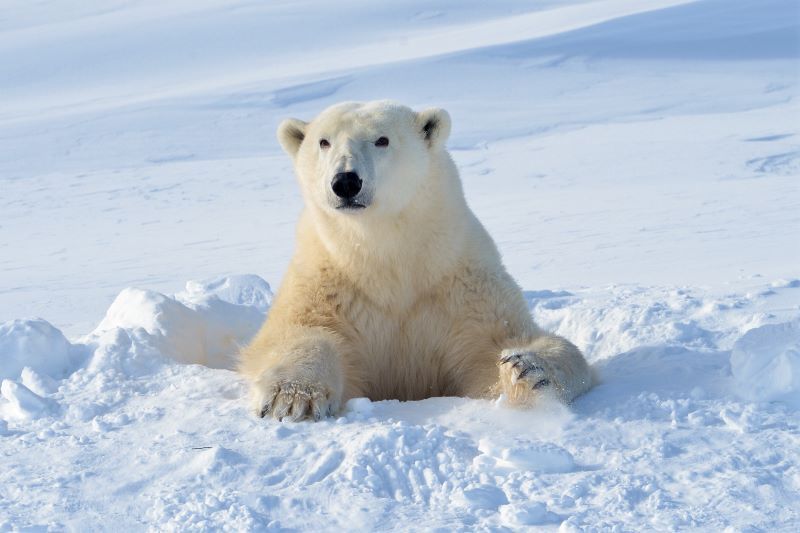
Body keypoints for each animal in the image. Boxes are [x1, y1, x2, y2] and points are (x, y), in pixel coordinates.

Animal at [239, 100, 592, 421]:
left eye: (382, 139)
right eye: (323, 142)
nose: (346, 181)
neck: (386, 258)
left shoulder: (462, 284)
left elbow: (500, 342)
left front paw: (526, 369)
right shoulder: (327, 280)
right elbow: (299, 331)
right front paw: (290, 397)